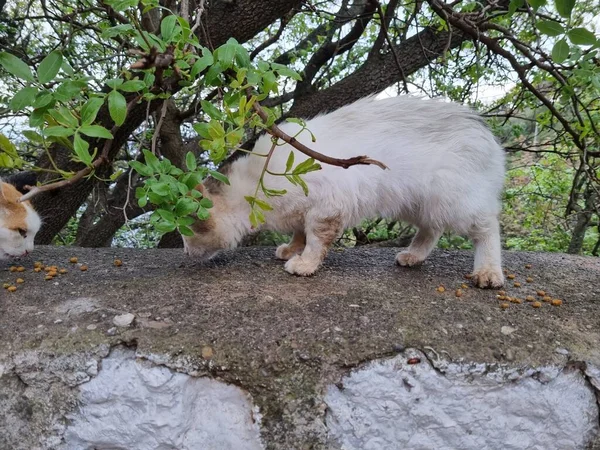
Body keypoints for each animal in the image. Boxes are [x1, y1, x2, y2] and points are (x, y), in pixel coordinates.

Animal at [183, 96, 506, 290]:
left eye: (189, 235)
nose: (184, 252)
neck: (255, 185)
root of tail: (483, 131)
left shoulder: (327, 208)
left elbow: (315, 241)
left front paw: (303, 264)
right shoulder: (305, 210)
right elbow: (299, 233)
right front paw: (291, 249)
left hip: (455, 202)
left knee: (488, 228)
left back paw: (489, 273)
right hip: (418, 204)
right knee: (431, 230)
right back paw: (413, 256)